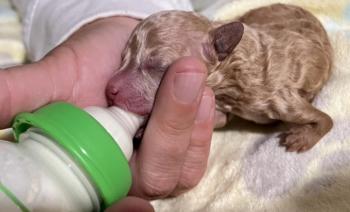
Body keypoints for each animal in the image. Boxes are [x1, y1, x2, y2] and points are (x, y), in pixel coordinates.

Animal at [106, 3, 334, 152]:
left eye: (157, 66)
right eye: (123, 58)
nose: (109, 89)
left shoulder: (280, 98)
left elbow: (325, 119)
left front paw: (303, 137)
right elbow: (219, 120)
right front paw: (143, 129)